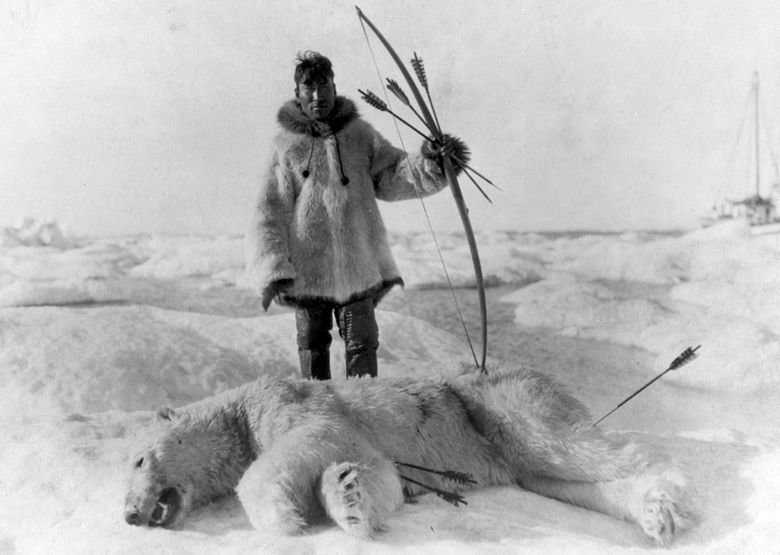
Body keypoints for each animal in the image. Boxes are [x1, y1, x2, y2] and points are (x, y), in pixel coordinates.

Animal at [123, 364, 700, 548]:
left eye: (137, 461)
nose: (129, 514)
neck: (236, 411)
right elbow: (378, 471)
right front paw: (348, 496)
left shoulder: (285, 403)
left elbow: (311, 438)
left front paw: (285, 516)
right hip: (506, 447)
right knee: (566, 480)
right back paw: (652, 513)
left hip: (497, 405)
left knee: (573, 447)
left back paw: (673, 499)